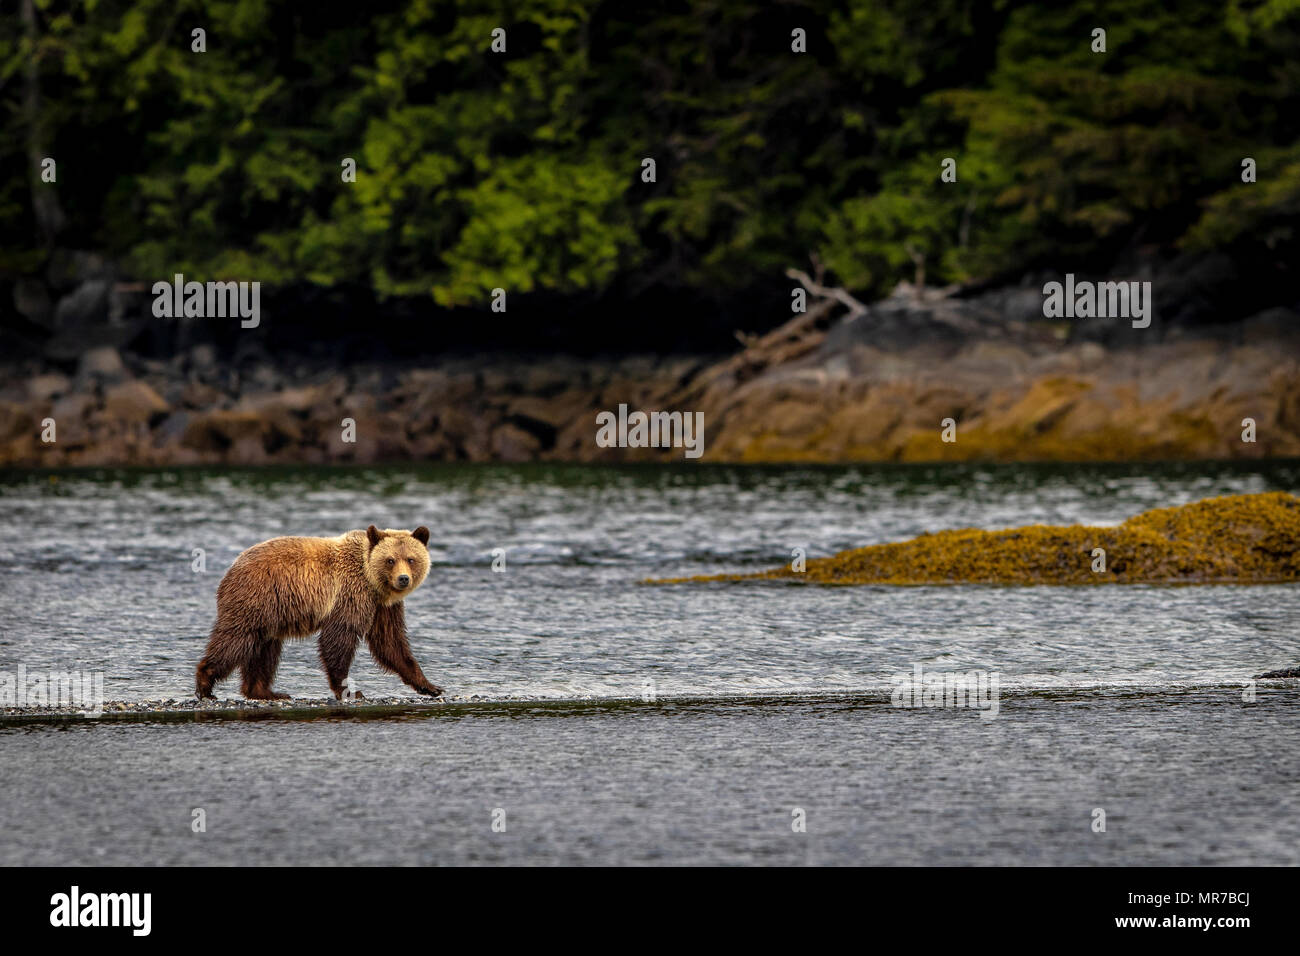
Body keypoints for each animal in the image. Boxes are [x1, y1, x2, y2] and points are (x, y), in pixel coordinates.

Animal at [193, 528, 447, 697]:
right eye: (390, 560)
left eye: (411, 559)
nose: (403, 579)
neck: (374, 583)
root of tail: (231, 569)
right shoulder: (350, 594)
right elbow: (339, 638)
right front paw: (349, 690)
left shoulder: (383, 607)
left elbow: (391, 643)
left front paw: (430, 686)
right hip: (256, 598)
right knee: (236, 640)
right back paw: (205, 684)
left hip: (271, 612)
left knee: (265, 649)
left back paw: (265, 692)